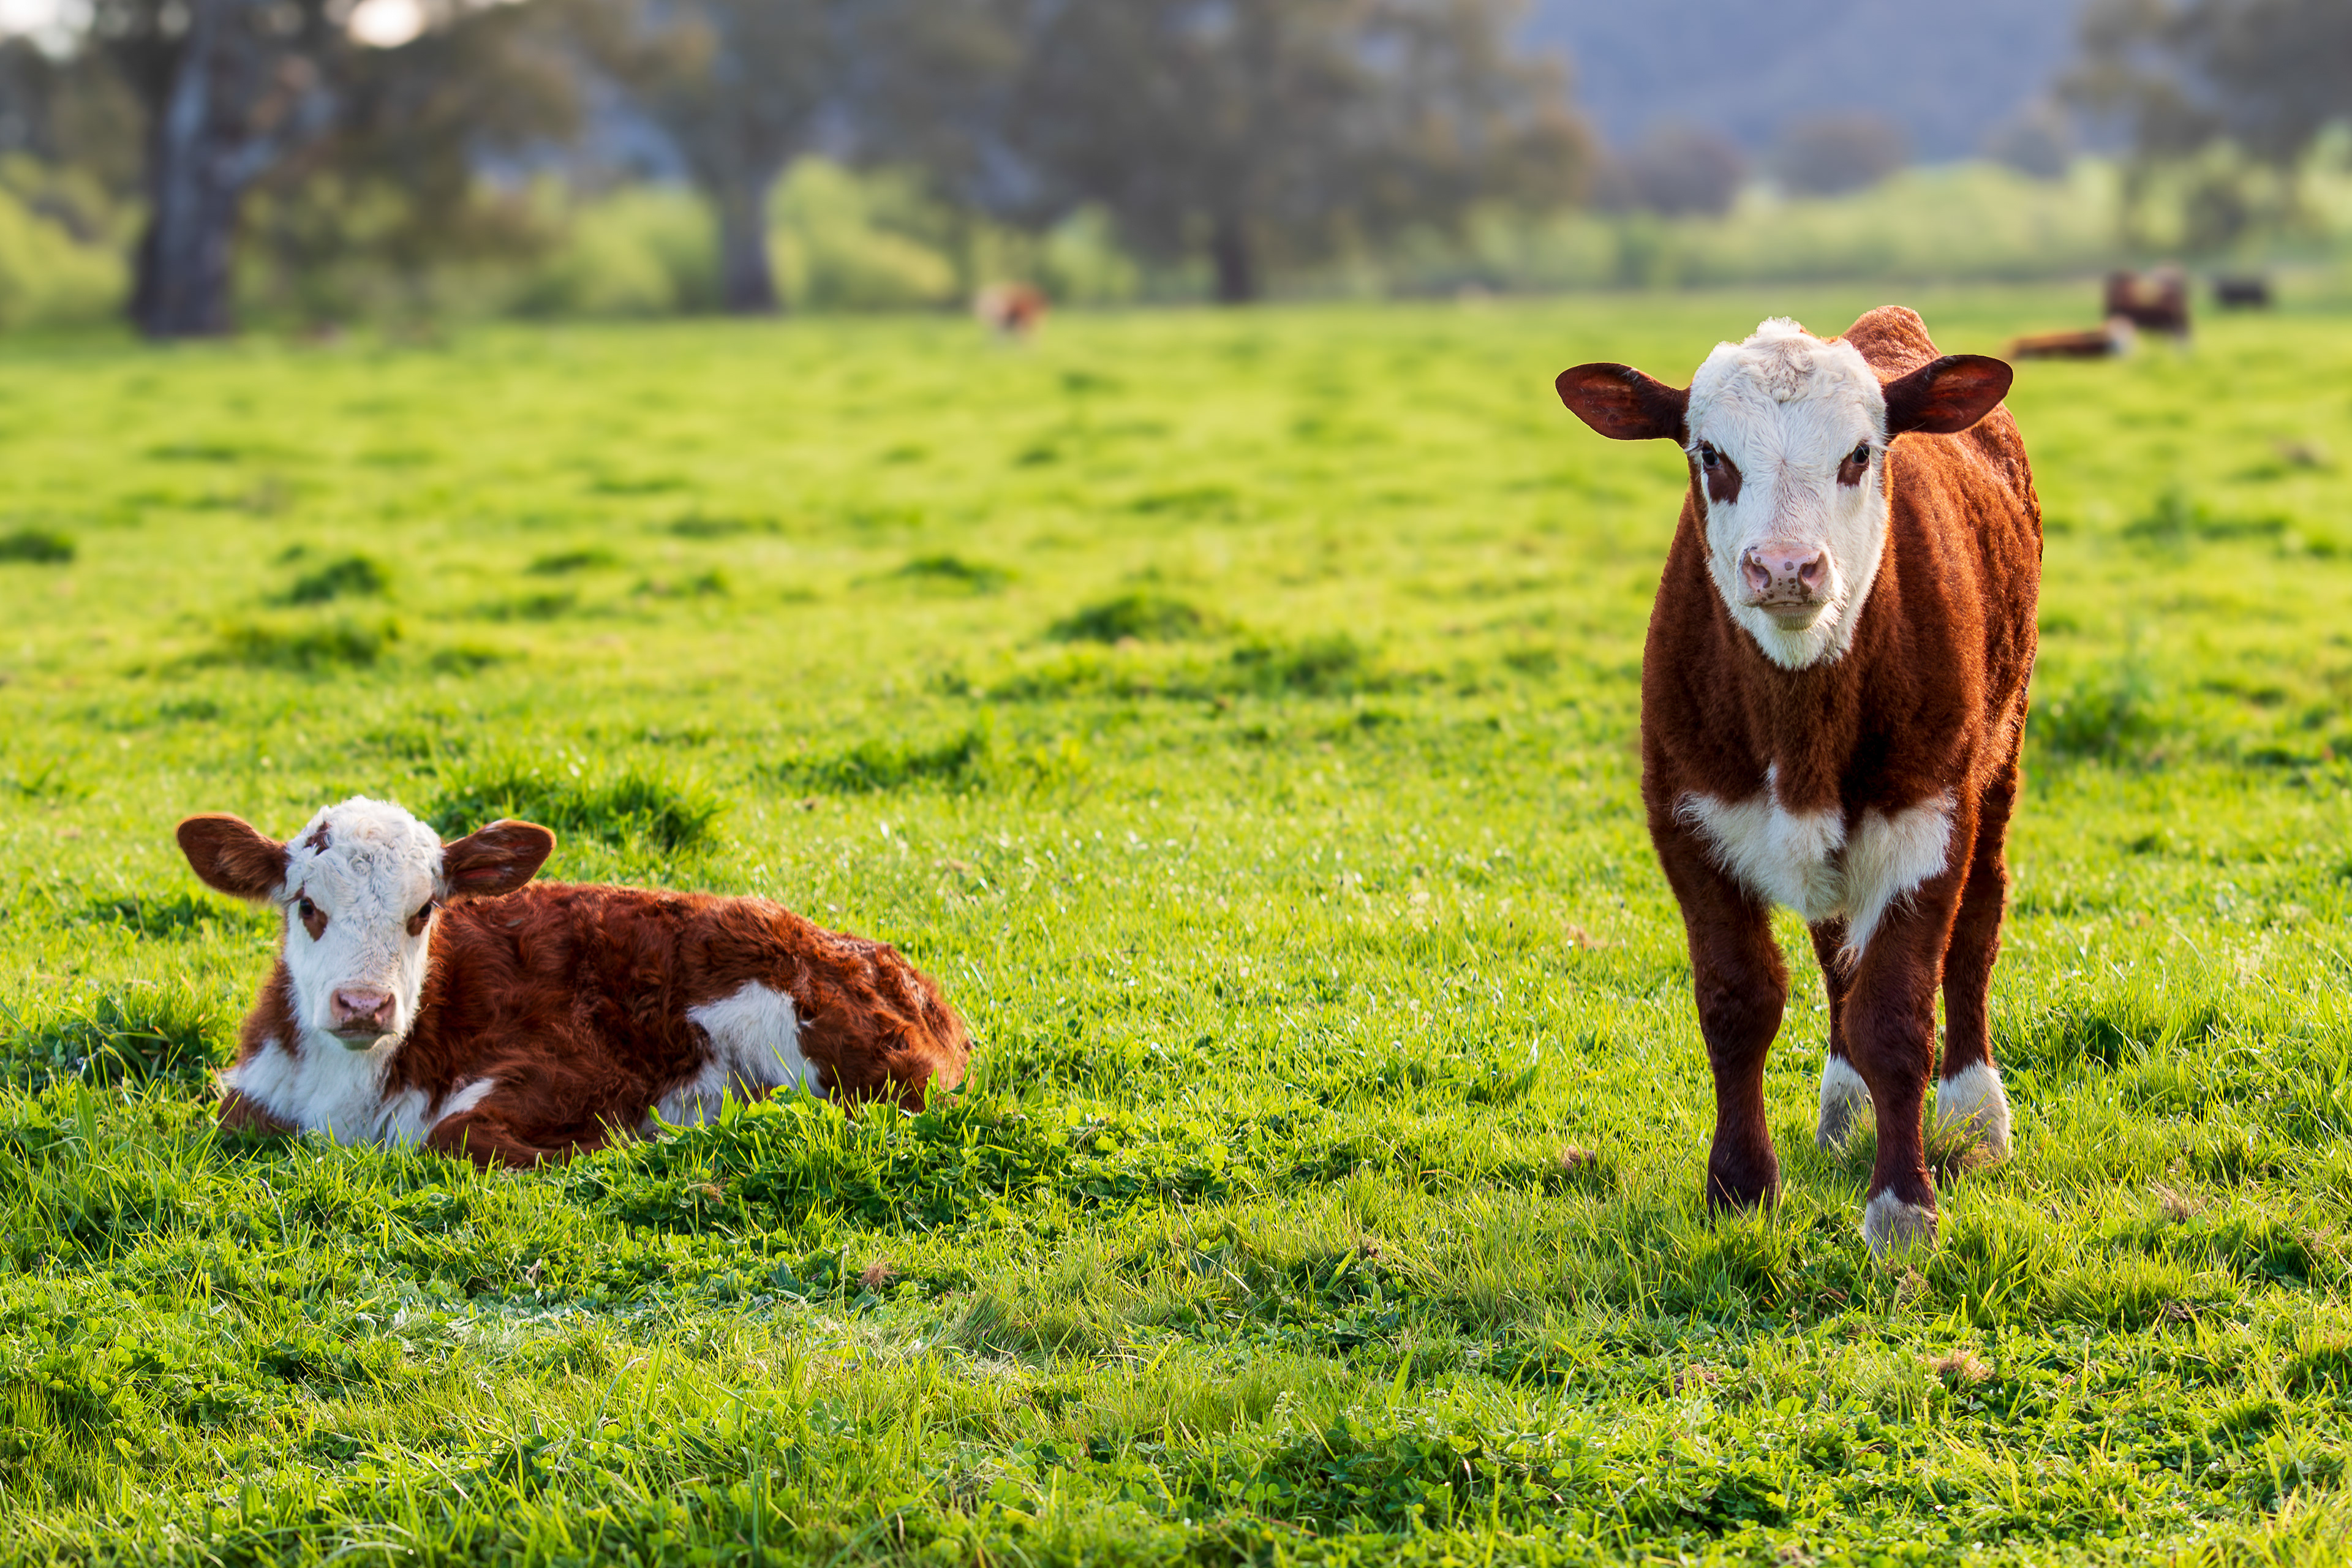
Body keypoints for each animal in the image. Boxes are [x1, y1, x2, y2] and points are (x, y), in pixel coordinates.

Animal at [176, 797, 970, 1167]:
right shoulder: (256, 1090)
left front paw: (621, 1143)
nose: (365, 1004)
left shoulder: (586, 1068)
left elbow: (455, 1133)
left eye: (424, 909)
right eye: (307, 905)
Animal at [1554, 309, 2035, 1254]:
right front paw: (1740, 1187)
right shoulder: (1686, 816)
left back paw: (1974, 1113)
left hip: (2002, 750)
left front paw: (1903, 1209)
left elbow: (1897, 1014)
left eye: (1859, 453)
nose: (1784, 569)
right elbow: (1739, 1003)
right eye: (1711, 454)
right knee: (1835, 945)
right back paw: (1844, 1105)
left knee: (1978, 923)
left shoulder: (1929, 814)